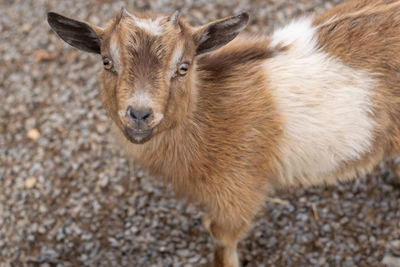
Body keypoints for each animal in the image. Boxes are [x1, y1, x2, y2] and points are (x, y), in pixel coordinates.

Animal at [47, 0, 400, 266]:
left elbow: (221, 236)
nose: (139, 114)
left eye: (184, 67)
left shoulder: (238, 189)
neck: (208, 115)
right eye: (107, 62)